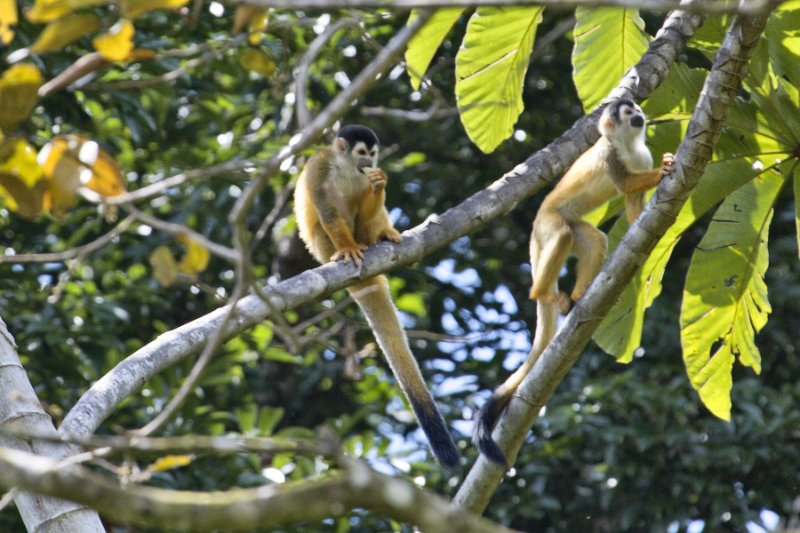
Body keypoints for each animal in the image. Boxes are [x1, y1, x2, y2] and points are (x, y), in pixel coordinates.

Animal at [294, 122, 460, 468]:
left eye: (372, 154)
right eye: (361, 152)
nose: (369, 163)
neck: (347, 167)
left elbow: (369, 201)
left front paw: (380, 184)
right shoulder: (320, 167)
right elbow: (327, 210)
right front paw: (346, 247)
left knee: (366, 214)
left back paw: (381, 235)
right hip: (321, 247)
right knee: (325, 219)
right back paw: (347, 248)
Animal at [476, 100, 676, 466]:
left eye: (634, 107)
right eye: (627, 113)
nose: (639, 113)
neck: (627, 144)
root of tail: (534, 230)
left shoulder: (641, 155)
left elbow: (632, 201)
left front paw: (644, 228)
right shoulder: (609, 153)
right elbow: (625, 185)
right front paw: (665, 169)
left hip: (568, 227)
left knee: (593, 239)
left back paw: (582, 292)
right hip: (546, 224)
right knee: (562, 235)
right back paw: (541, 292)